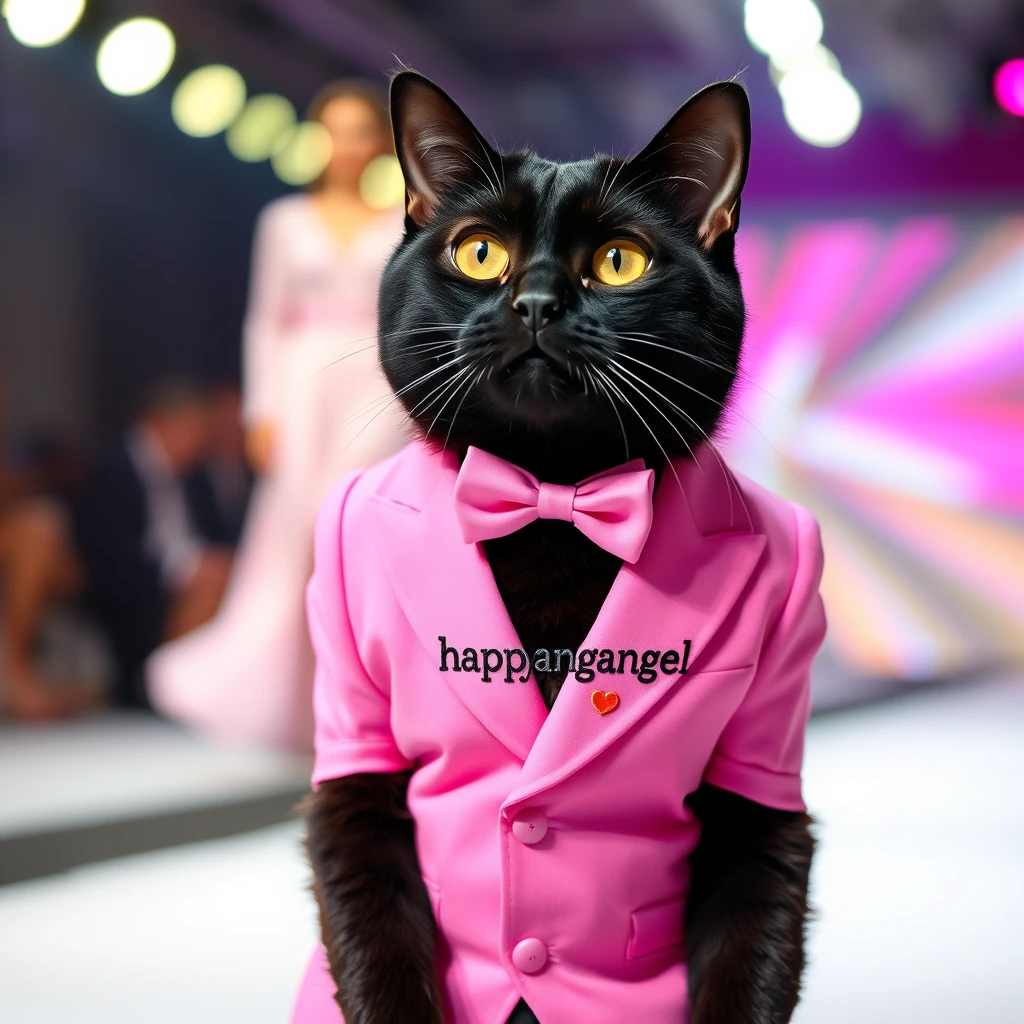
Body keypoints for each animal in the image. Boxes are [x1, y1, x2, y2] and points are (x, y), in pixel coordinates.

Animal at [299, 72, 815, 1024]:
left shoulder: (761, 802)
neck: (552, 503)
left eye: (618, 262)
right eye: (479, 253)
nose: (536, 301)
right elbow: (376, 926)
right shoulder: (354, 774)